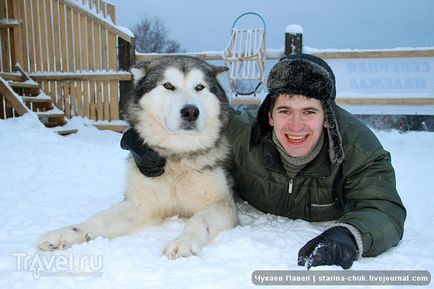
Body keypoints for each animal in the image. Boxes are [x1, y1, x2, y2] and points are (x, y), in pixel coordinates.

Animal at [36, 55, 241, 256]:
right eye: (168, 85)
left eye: (199, 87)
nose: (190, 112)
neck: (177, 155)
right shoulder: (140, 204)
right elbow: (98, 219)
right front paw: (66, 232)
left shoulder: (221, 206)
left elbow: (198, 220)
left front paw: (184, 242)